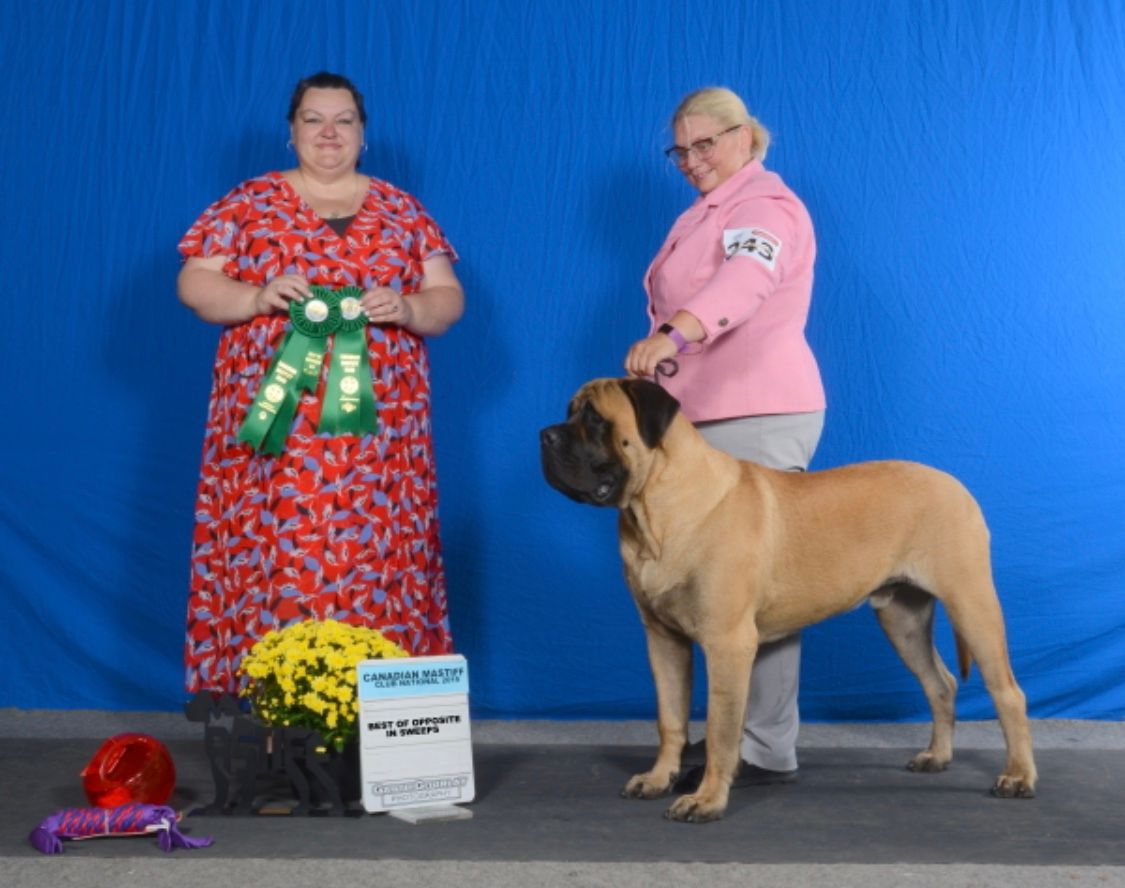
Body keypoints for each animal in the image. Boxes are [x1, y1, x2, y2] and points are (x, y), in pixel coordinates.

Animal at [540, 377, 1037, 822]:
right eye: (570, 411)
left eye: (595, 419)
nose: (545, 435)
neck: (654, 509)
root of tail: (955, 484)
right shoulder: (663, 640)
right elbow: (670, 718)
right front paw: (659, 779)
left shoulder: (728, 644)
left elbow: (721, 728)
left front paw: (706, 800)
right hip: (903, 619)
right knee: (941, 683)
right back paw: (937, 755)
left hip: (971, 602)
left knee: (1008, 692)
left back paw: (1018, 776)